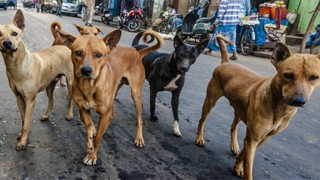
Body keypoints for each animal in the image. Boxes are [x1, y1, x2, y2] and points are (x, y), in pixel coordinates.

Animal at [0, 10, 74, 150]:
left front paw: (23, 142)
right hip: (49, 86)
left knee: (72, 99)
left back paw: (70, 114)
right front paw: (22, 135)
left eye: (14, 33)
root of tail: (64, 46)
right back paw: (46, 115)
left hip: (71, 83)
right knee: (51, 101)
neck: (18, 65)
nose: (7, 43)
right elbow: (24, 119)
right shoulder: (19, 98)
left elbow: (27, 122)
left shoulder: (30, 100)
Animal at [58, 28, 162, 165]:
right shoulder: (83, 109)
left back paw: (139, 138)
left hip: (136, 95)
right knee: (111, 112)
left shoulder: (104, 115)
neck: (90, 86)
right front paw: (89, 141)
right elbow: (89, 125)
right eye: (78, 53)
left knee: (139, 119)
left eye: (98, 55)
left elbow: (98, 137)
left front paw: (92, 155)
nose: (86, 70)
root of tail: (136, 52)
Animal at [194, 35, 320, 180]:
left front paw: (237, 166)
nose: (299, 101)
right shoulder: (253, 138)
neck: (279, 107)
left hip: (239, 108)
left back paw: (234, 145)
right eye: (288, 75)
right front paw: (242, 168)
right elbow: (249, 167)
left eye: (314, 77)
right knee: (202, 120)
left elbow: (244, 154)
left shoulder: (262, 138)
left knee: (233, 126)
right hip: (210, 101)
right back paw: (199, 138)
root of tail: (226, 62)